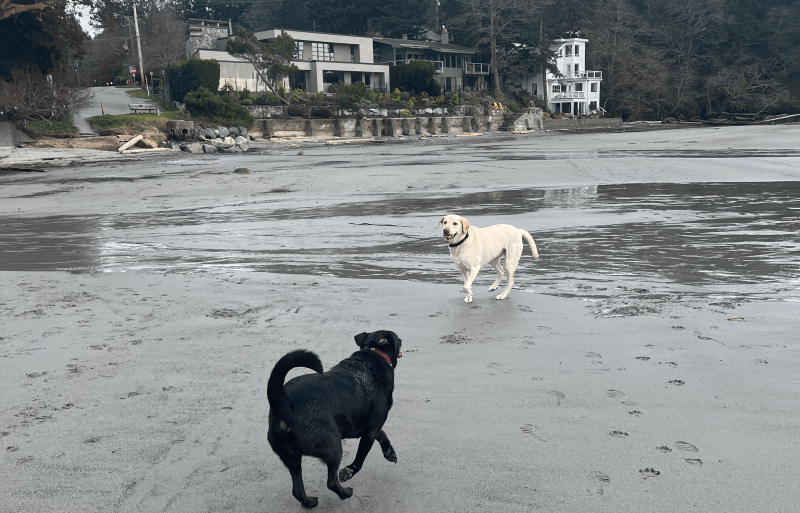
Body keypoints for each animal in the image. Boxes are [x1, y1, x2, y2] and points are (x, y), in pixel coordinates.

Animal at [268, 330, 404, 506]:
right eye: (398, 340)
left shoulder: (368, 427)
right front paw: (349, 471)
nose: (401, 340)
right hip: (333, 447)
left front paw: (389, 451)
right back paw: (345, 493)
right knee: (331, 482)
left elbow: (383, 434)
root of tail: (284, 405)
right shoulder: (370, 431)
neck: (372, 353)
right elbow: (360, 459)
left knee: (297, 490)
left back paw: (309, 502)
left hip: (292, 458)